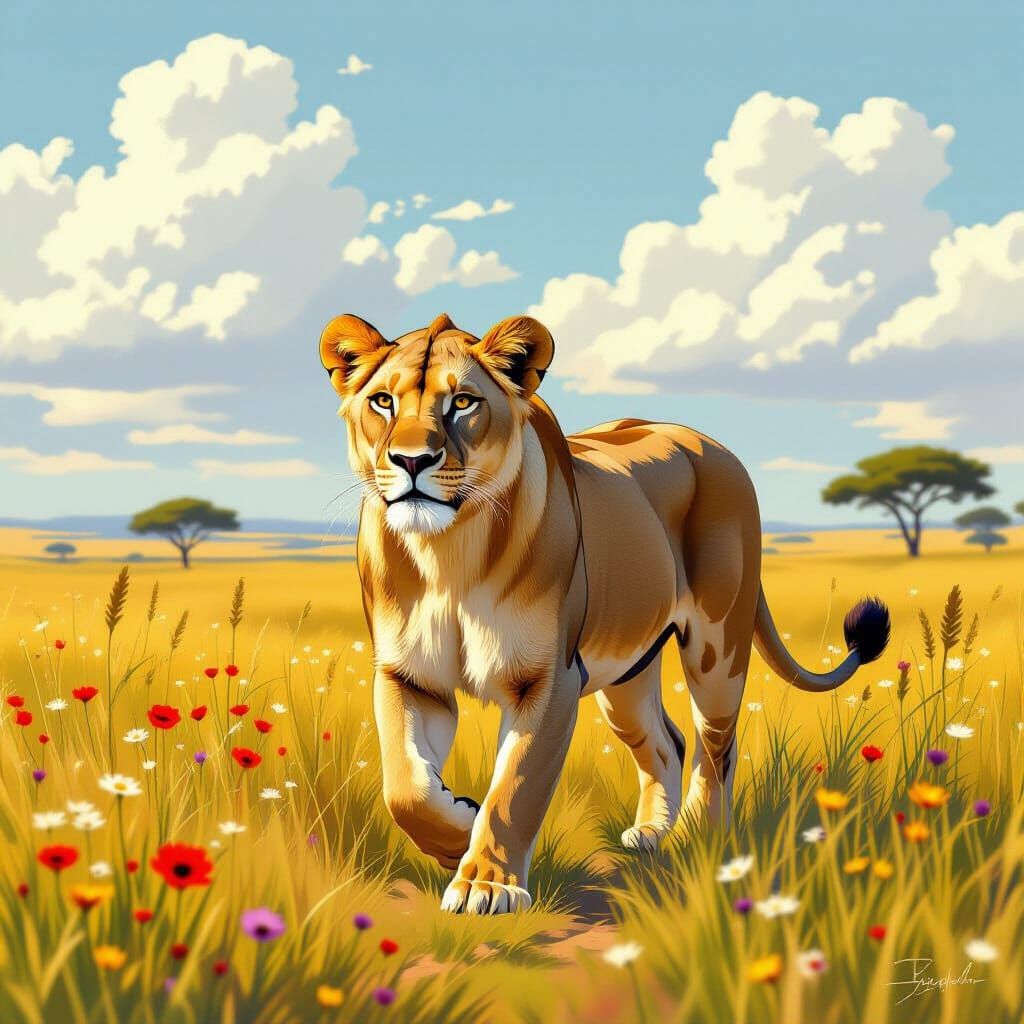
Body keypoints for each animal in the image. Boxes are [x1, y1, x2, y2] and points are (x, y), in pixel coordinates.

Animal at [319, 311, 889, 916]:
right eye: (383, 401)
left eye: (464, 403)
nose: (412, 461)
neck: (449, 551)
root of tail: (714, 444)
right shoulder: (408, 675)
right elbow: (405, 785)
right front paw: (457, 832)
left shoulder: (550, 680)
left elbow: (515, 787)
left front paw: (486, 883)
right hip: (626, 673)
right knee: (666, 742)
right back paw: (652, 833)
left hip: (716, 650)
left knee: (716, 748)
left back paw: (699, 838)